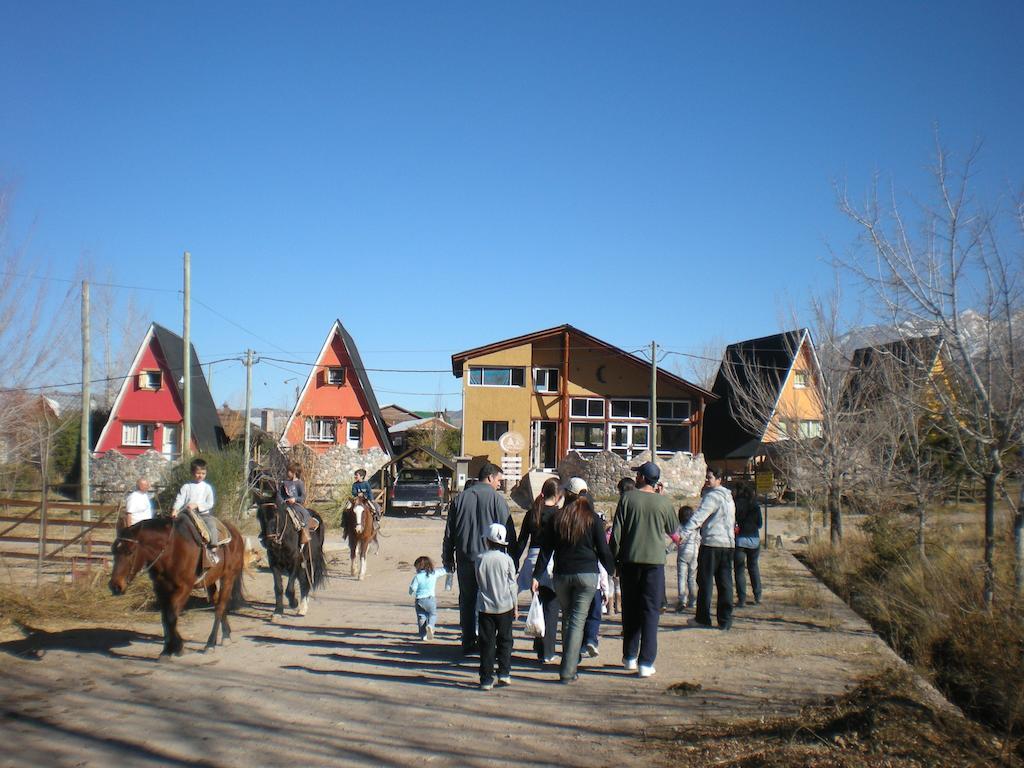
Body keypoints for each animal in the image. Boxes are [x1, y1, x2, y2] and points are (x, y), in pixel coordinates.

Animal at [109, 514, 244, 659]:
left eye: (130, 552)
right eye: (113, 550)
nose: (115, 586)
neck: (170, 552)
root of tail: (236, 533)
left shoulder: (184, 588)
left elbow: (171, 616)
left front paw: (176, 647)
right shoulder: (160, 588)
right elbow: (165, 618)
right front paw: (168, 649)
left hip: (228, 577)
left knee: (220, 607)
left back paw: (210, 644)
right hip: (211, 580)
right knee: (218, 603)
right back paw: (226, 635)